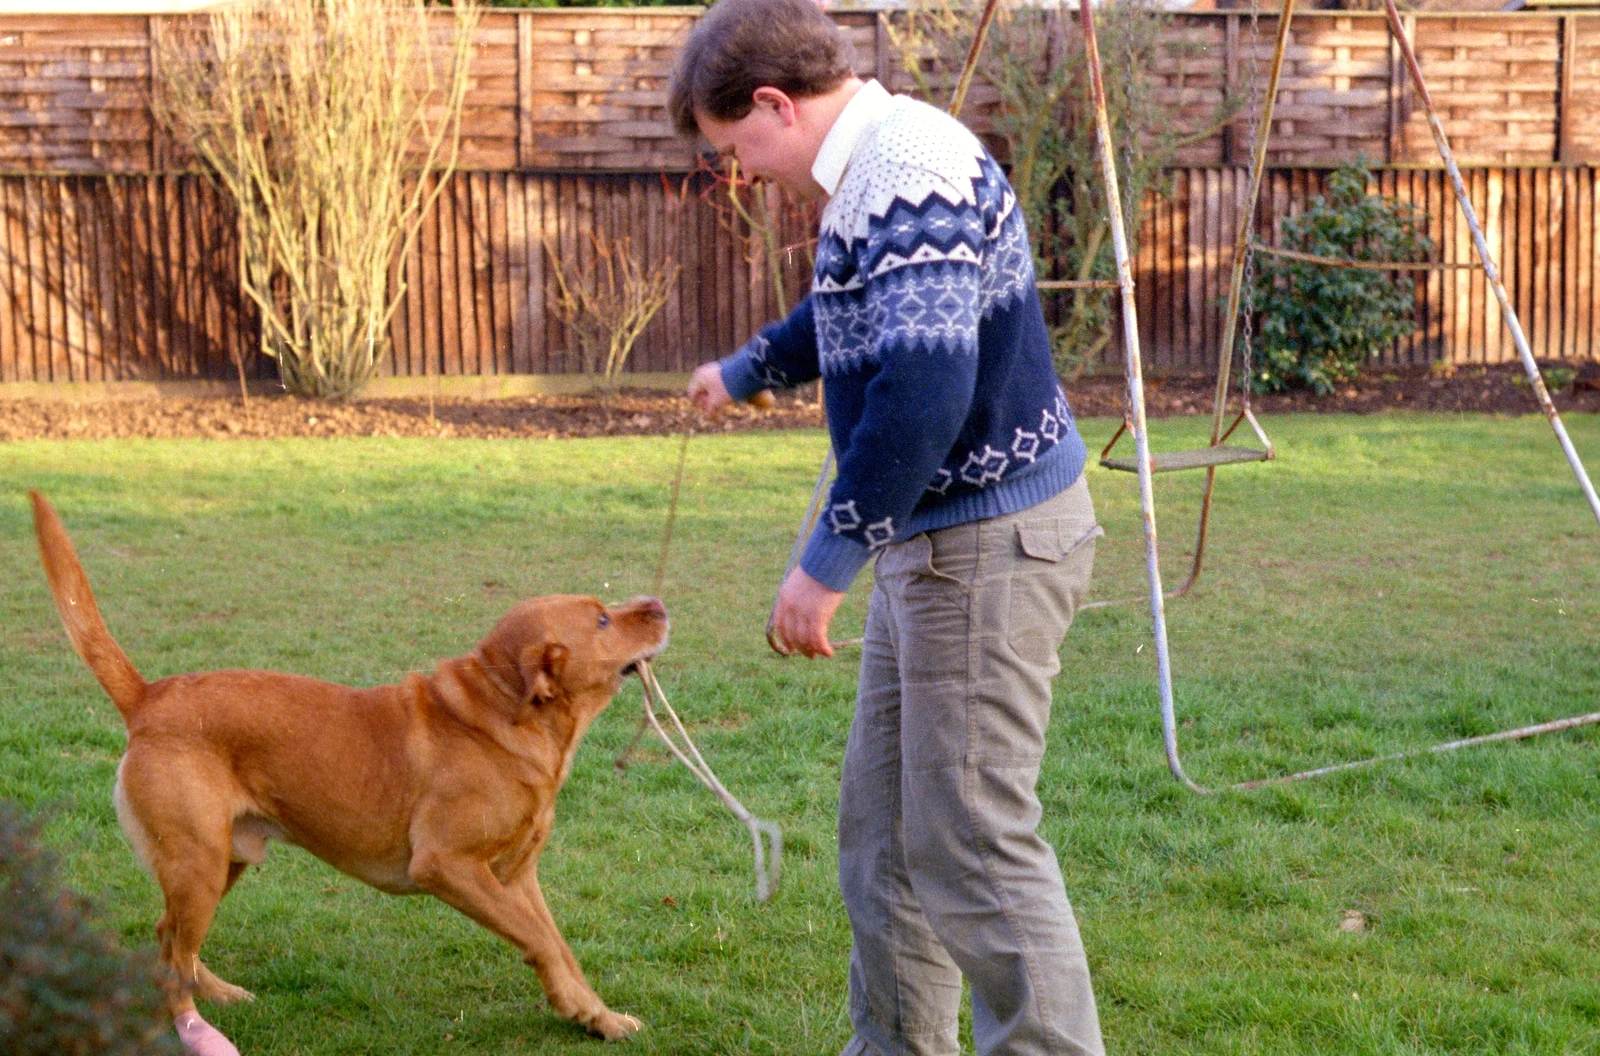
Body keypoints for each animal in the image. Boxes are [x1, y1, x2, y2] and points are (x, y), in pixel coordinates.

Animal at [31, 492, 668, 1036]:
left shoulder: (515, 875)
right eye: (602, 620)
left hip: (220, 861)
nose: (659, 604)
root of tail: (148, 696)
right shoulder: (447, 866)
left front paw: (595, 1015)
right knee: (172, 952)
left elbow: (559, 946)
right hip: (198, 864)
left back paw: (217, 993)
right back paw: (191, 1026)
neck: (497, 717)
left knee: (169, 940)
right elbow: (540, 941)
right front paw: (583, 1011)